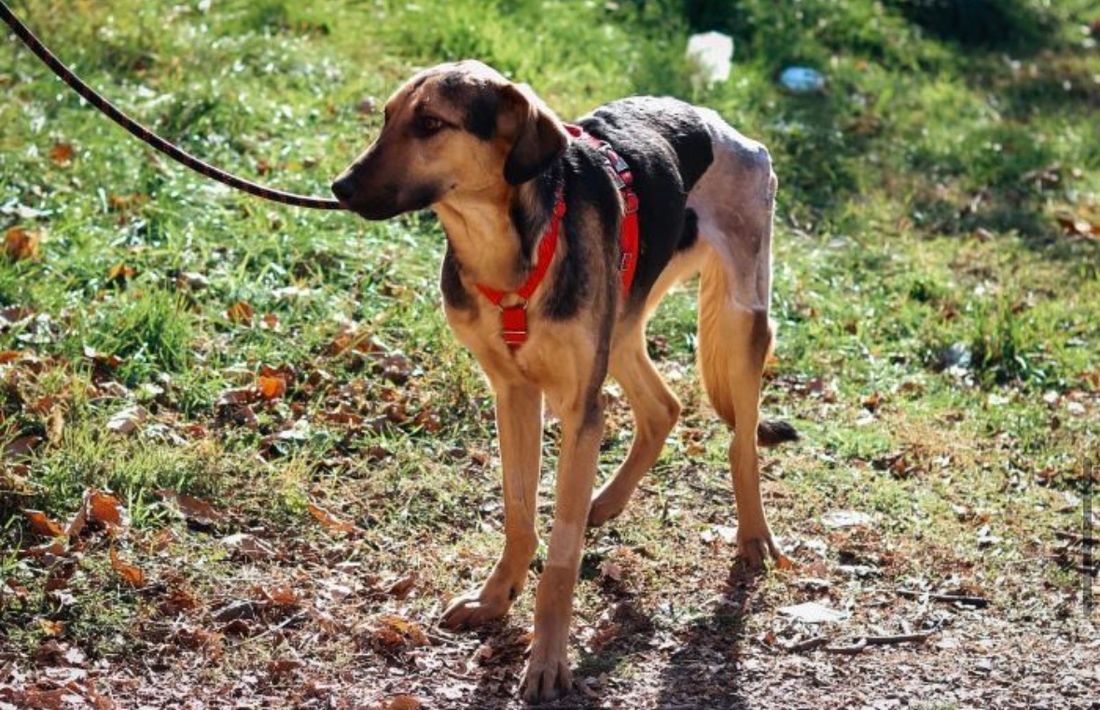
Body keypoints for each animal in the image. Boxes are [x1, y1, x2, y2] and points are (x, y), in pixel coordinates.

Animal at [332, 60, 797, 704]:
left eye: (430, 124)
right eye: (387, 117)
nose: (340, 188)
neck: (505, 248)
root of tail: (715, 121)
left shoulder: (580, 409)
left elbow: (560, 559)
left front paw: (548, 660)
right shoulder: (514, 395)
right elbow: (519, 516)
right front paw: (495, 597)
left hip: (740, 320)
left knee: (741, 439)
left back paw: (753, 537)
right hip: (621, 323)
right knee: (664, 407)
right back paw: (607, 501)